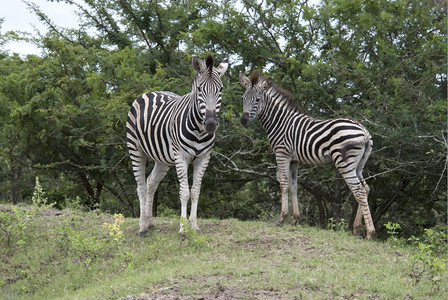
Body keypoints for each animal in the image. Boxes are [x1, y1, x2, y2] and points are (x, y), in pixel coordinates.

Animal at [128, 55, 229, 236]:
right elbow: (184, 193)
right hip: (135, 149)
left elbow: (195, 192)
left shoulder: (204, 158)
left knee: (151, 183)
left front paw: (194, 226)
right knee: (140, 187)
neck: (199, 130)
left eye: (221, 89)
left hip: (162, 159)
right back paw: (142, 227)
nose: (211, 124)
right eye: (200, 89)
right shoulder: (181, 157)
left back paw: (149, 223)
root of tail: (150, 92)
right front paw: (182, 228)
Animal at [238, 71, 374, 240]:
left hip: (345, 163)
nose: (243, 120)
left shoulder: (282, 154)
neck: (280, 122)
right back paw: (356, 229)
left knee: (359, 191)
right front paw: (294, 219)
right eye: (243, 98)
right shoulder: (294, 159)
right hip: (359, 165)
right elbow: (293, 186)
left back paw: (369, 233)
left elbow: (283, 184)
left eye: (257, 100)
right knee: (365, 188)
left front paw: (282, 218)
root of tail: (364, 131)